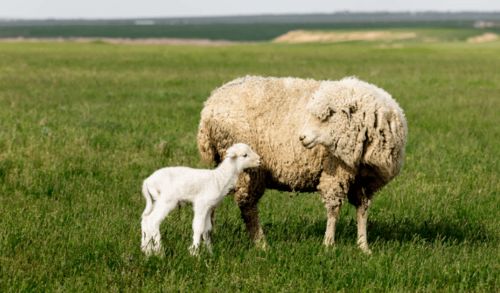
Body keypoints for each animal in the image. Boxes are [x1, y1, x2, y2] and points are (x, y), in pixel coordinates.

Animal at [195, 75, 406, 253]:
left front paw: (363, 246)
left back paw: (209, 237)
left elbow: (362, 210)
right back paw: (261, 244)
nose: (302, 137)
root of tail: (208, 107)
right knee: (247, 205)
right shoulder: (335, 172)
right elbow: (334, 209)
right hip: (248, 169)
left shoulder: (362, 181)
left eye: (330, 114)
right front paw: (329, 244)